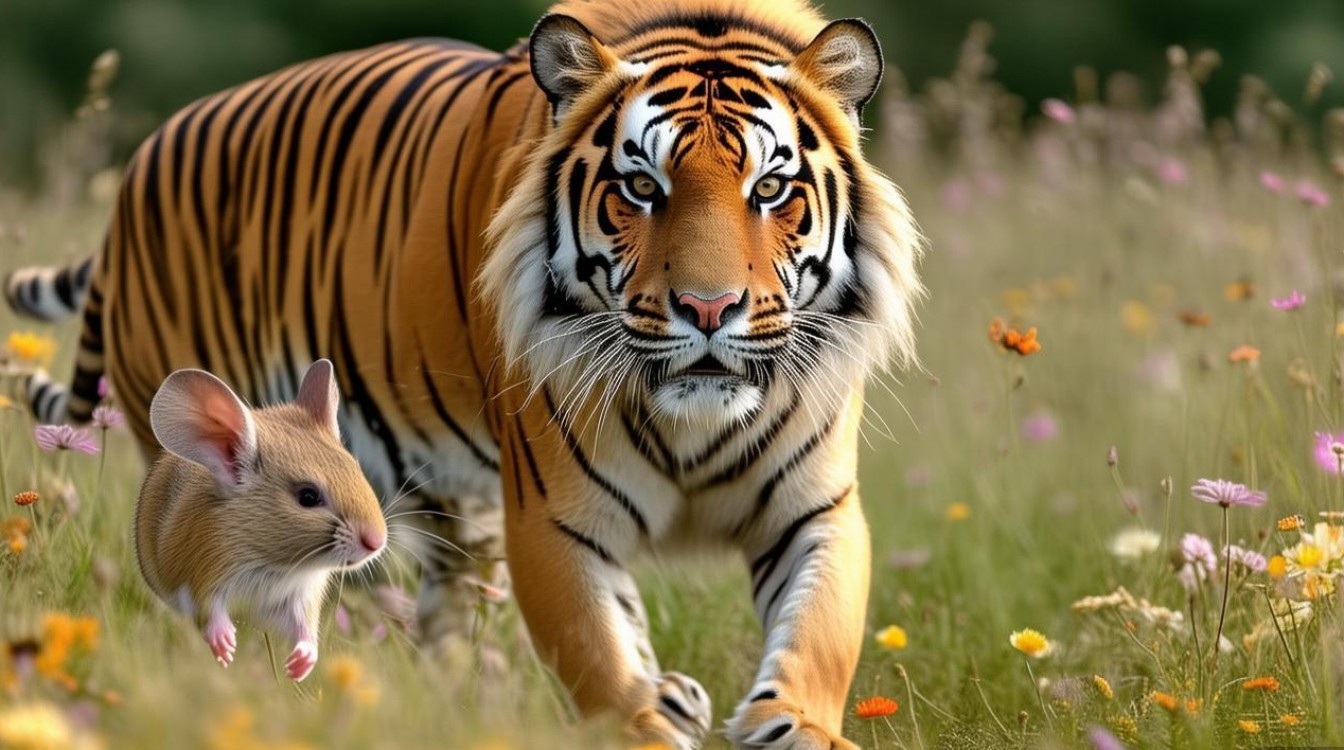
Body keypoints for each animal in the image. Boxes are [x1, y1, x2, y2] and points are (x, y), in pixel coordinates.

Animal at [4, 0, 923, 746]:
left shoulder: (816, 507)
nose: (708, 308)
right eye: (640, 186)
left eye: (770, 188)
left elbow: (818, 634)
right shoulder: (556, 517)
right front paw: (647, 719)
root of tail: (142, 162)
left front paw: (790, 723)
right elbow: (597, 648)